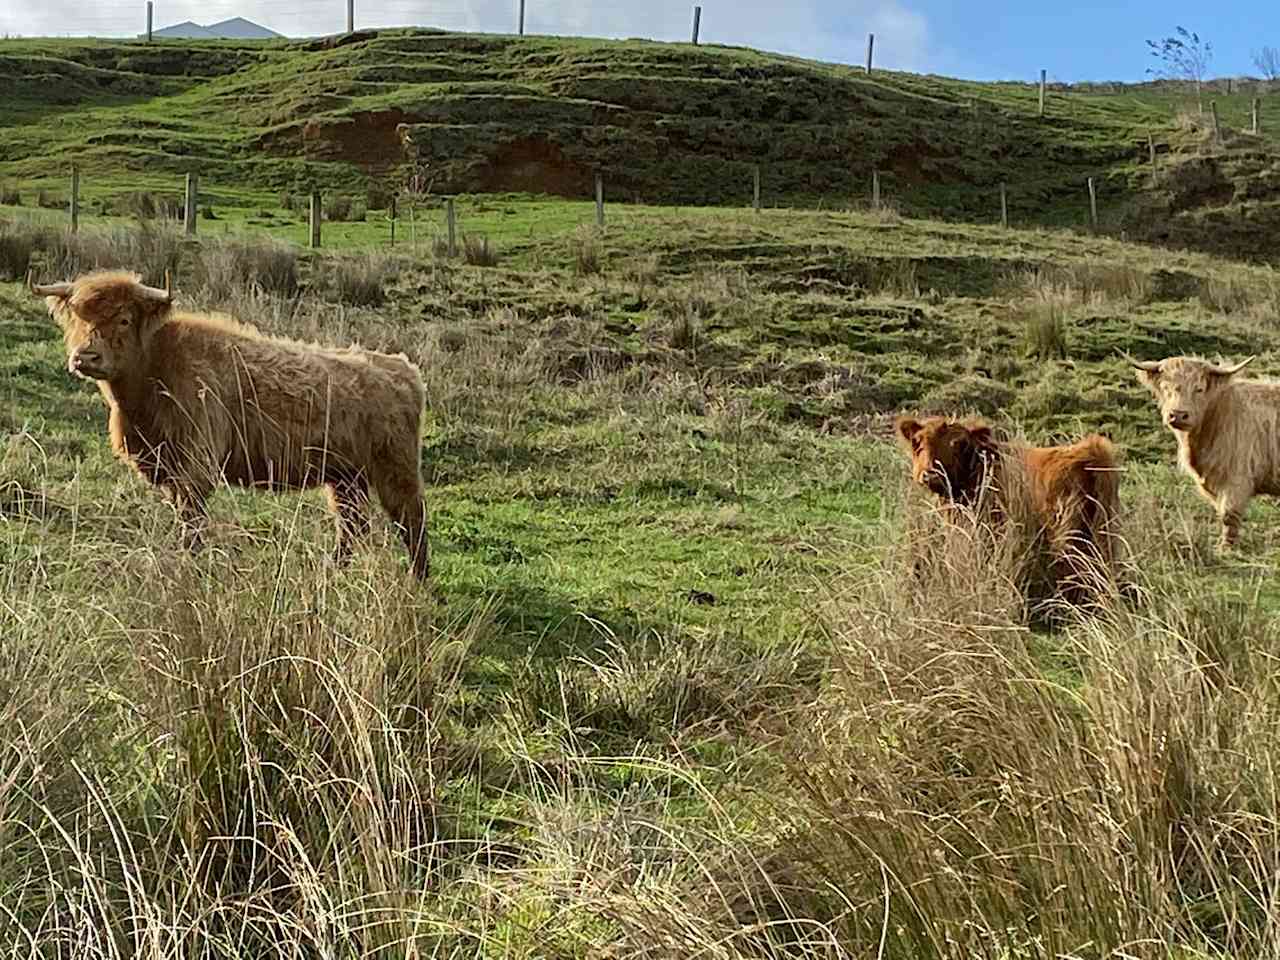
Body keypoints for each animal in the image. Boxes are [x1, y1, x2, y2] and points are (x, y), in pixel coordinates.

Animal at [1131, 353, 1280, 552]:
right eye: (1165, 387)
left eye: (1199, 389)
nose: (1178, 415)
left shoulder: (1237, 478)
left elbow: (1229, 515)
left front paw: (1225, 548)